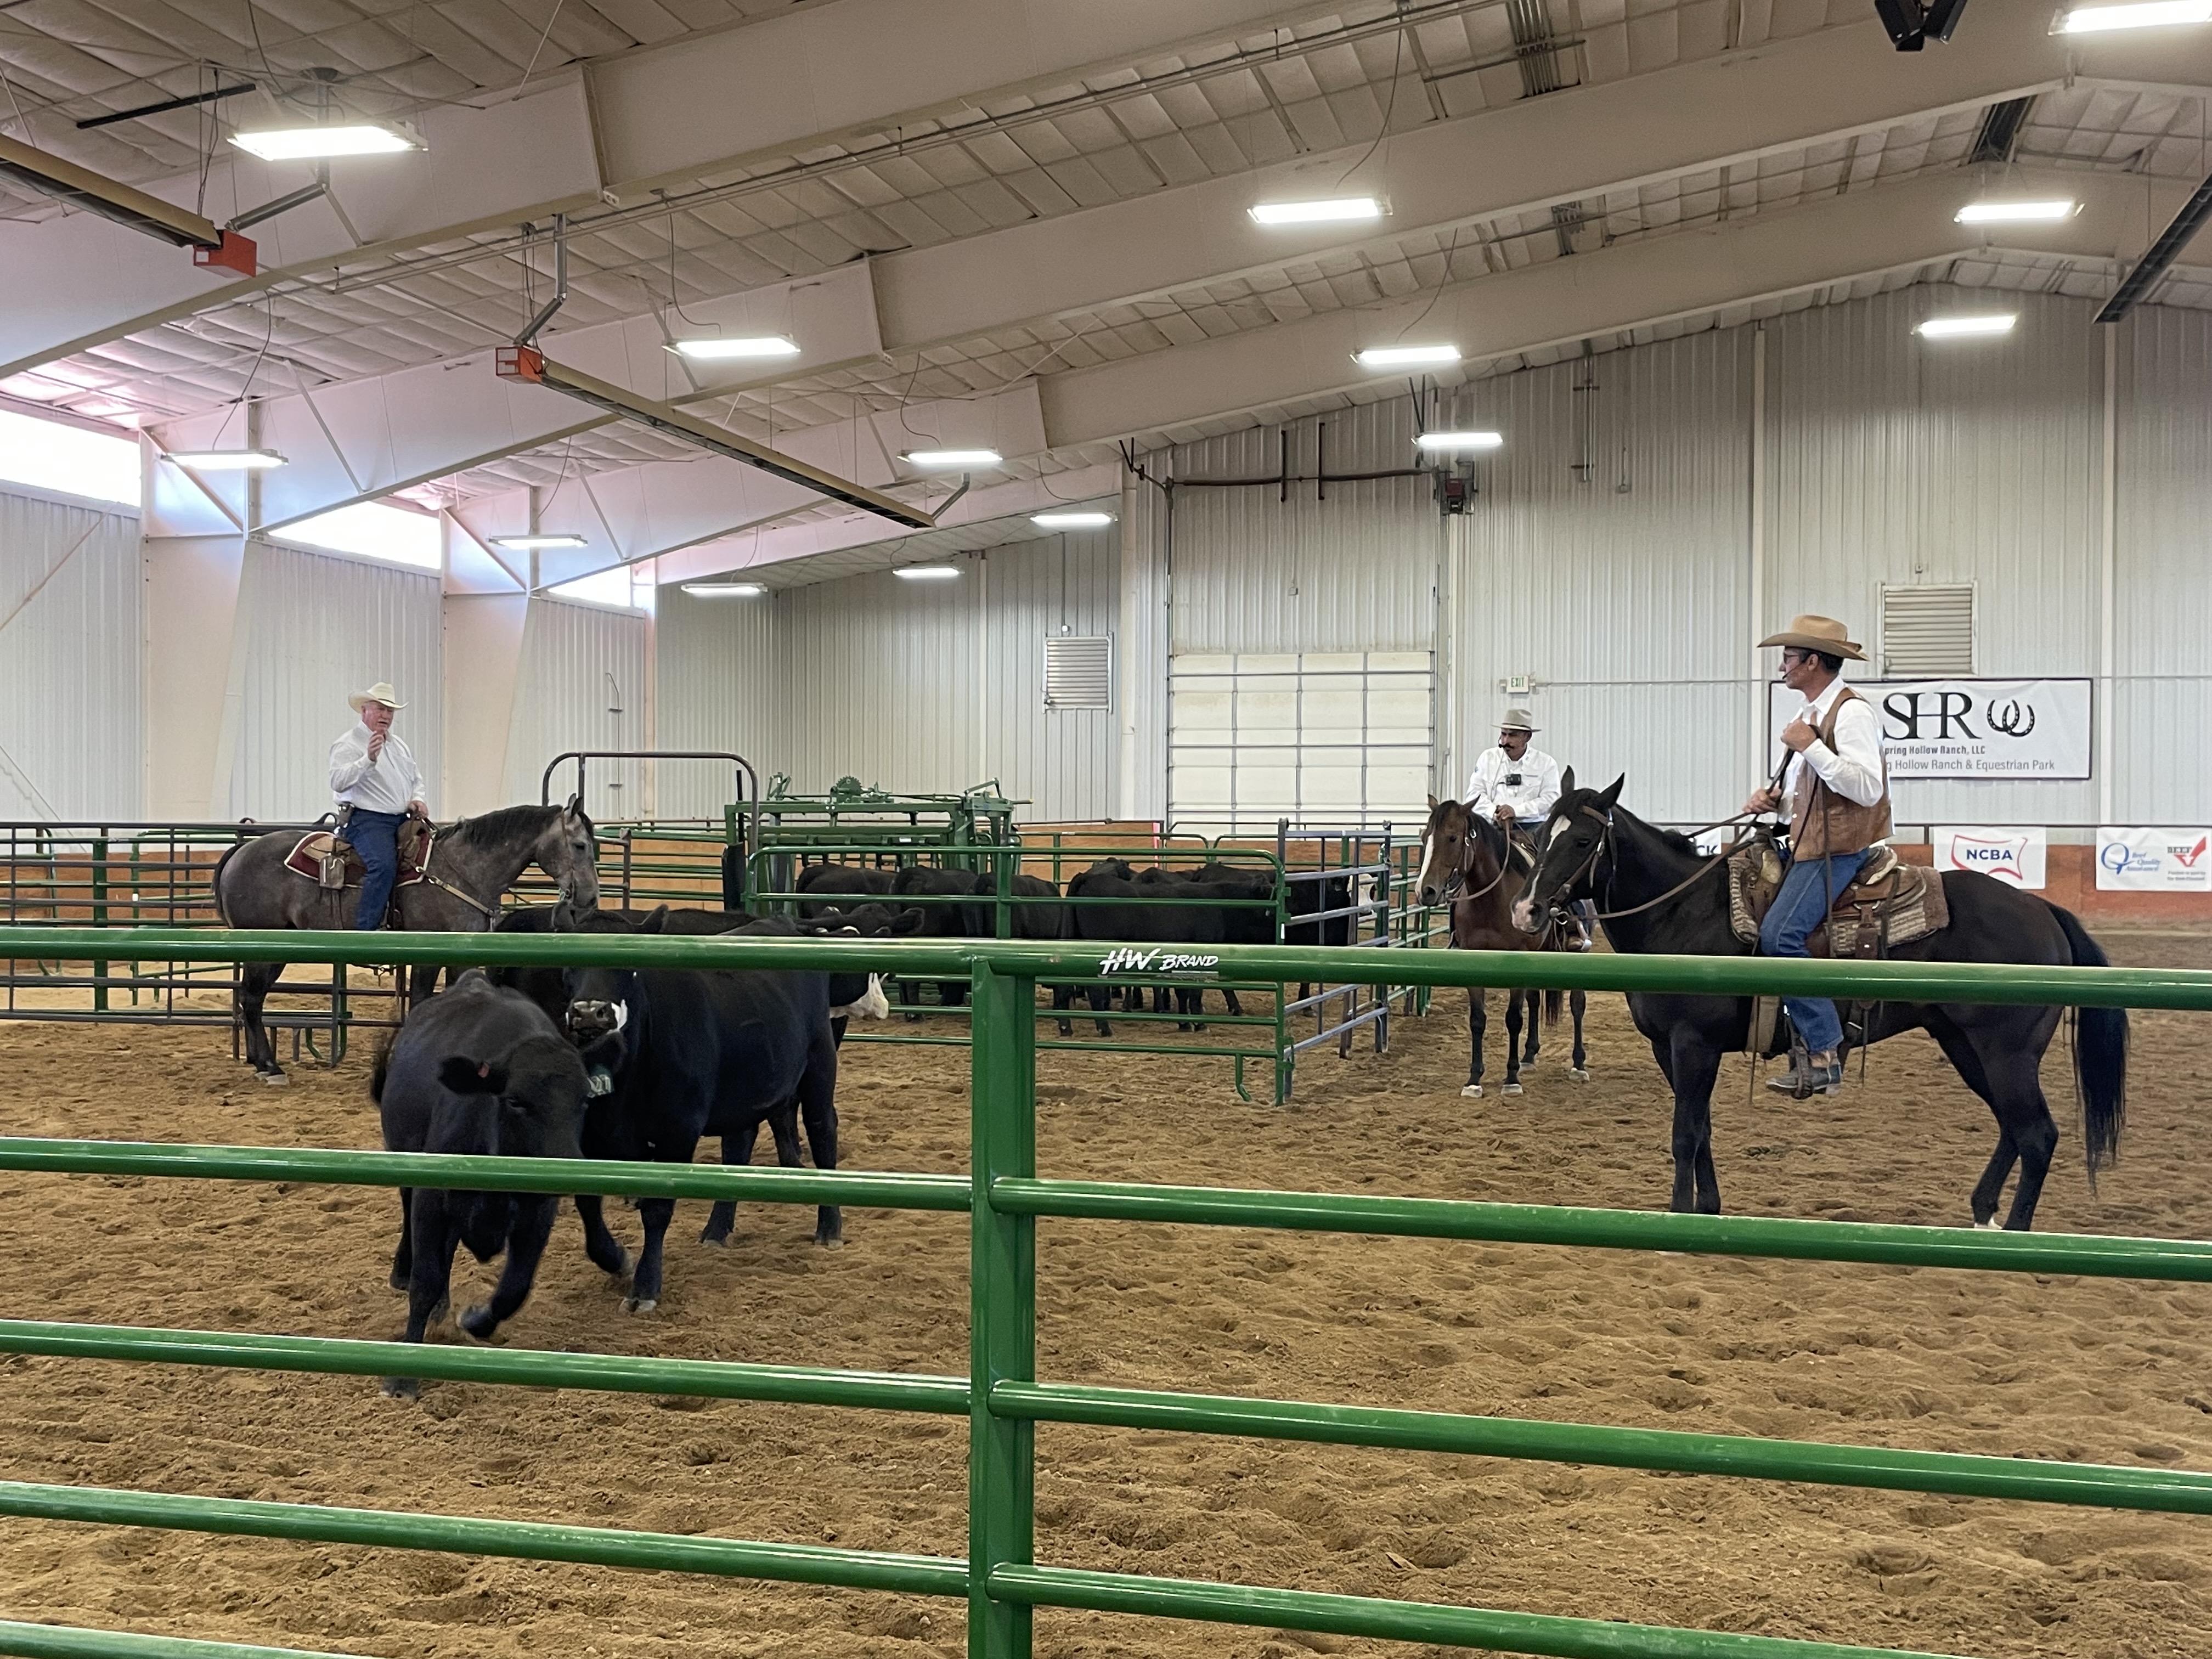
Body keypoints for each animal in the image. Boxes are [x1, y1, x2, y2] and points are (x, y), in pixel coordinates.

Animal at [213, 805, 606, 1092]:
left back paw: (260, 1063)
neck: (462, 870)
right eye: (580, 845)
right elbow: (420, 1003)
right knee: (251, 999)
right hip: (266, 946)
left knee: (251, 998)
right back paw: (270, 1067)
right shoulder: (429, 955)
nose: (588, 901)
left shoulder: (461, 956)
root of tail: (242, 850)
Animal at [371, 973, 601, 1407]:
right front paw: (403, 1377)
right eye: (516, 1101)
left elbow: (514, 1287)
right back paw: (403, 1273)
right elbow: (425, 1281)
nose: (568, 1167)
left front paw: (477, 1320)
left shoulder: (536, 1214)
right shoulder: (432, 1201)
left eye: (584, 1100)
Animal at [1415, 800, 1593, 1106]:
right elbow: (1478, 1021)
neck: (1491, 901)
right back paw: (1529, 1056)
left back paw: (1578, 1064)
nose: (1425, 891)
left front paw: (1511, 1080)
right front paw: (1474, 1080)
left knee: (1577, 1004)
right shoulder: (1474, 963)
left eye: (1452, 838)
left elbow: (1513, 1020)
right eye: (1425, 837)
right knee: (1534, 1000)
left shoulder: (1517, 959)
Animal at [1513, 774, 2114, 1229]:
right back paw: (1984, 1216)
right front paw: (1709, 1209)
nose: (1526, 911)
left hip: (2006, 1053)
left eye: (1583, 841)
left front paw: (1680, 1217)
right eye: (1540, 838)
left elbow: (1685, 1133)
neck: (1683, 912)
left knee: (2037, 1133)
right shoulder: (1670, 1049)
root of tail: (2045, 912)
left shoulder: (1693, 1044)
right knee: (2013, 1127)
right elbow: (1701, 1128)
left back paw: (2015, 1234)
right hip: (1965, 1045)